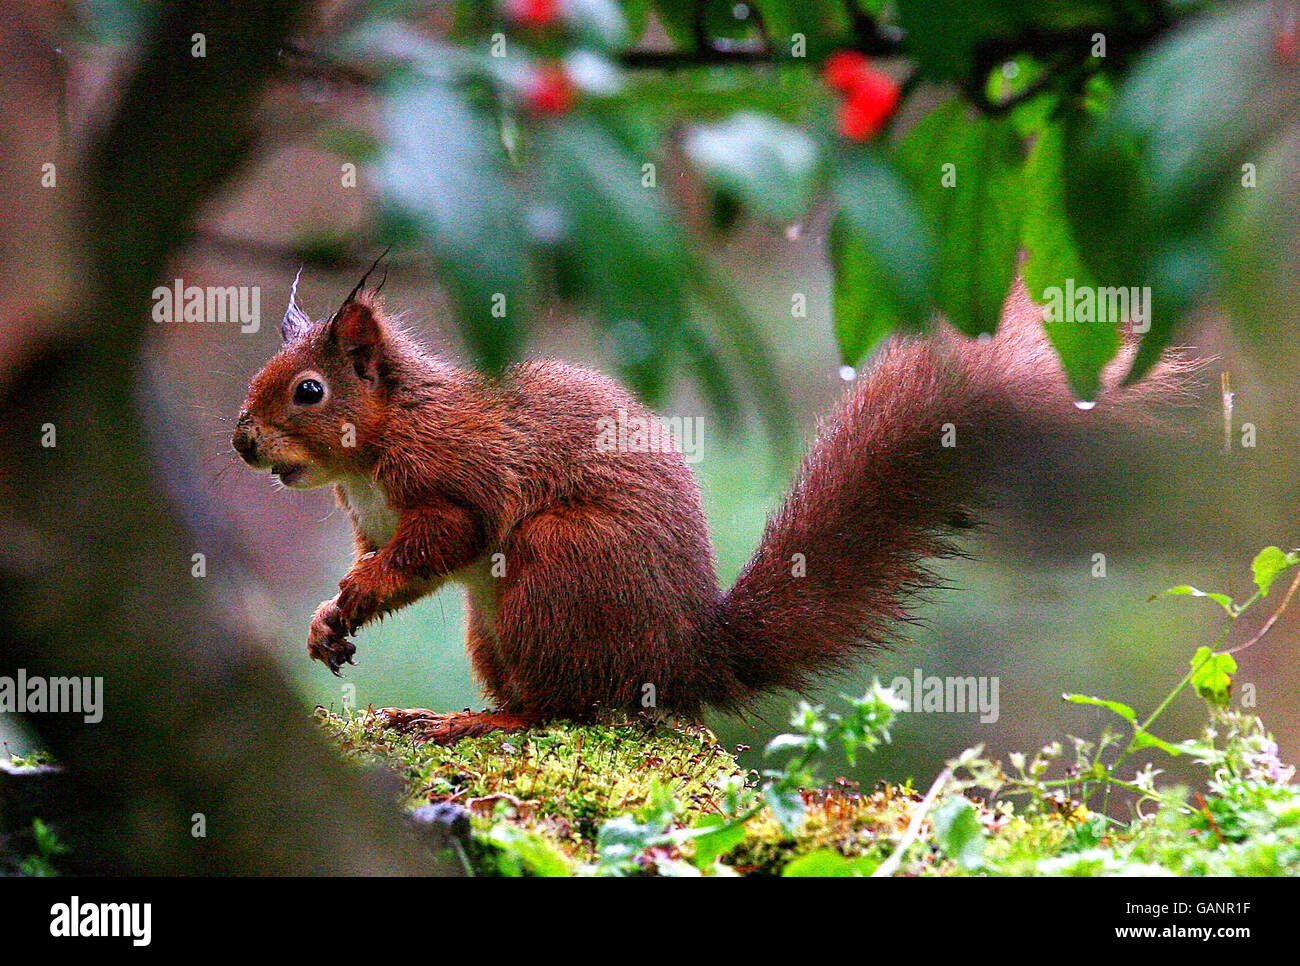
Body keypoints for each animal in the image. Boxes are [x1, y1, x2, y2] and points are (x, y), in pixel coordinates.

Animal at [233, 263, 1190, 738]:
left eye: (310, 391)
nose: (241, 442)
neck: (372, 450)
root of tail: (682, 659)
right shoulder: (369, 520)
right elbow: (387, 564)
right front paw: (328, 622)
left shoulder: (456, 482)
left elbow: (435, 543)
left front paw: (355, 595)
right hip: (493, 624)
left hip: (556, 564)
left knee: (563, 707)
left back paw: (472, 723)